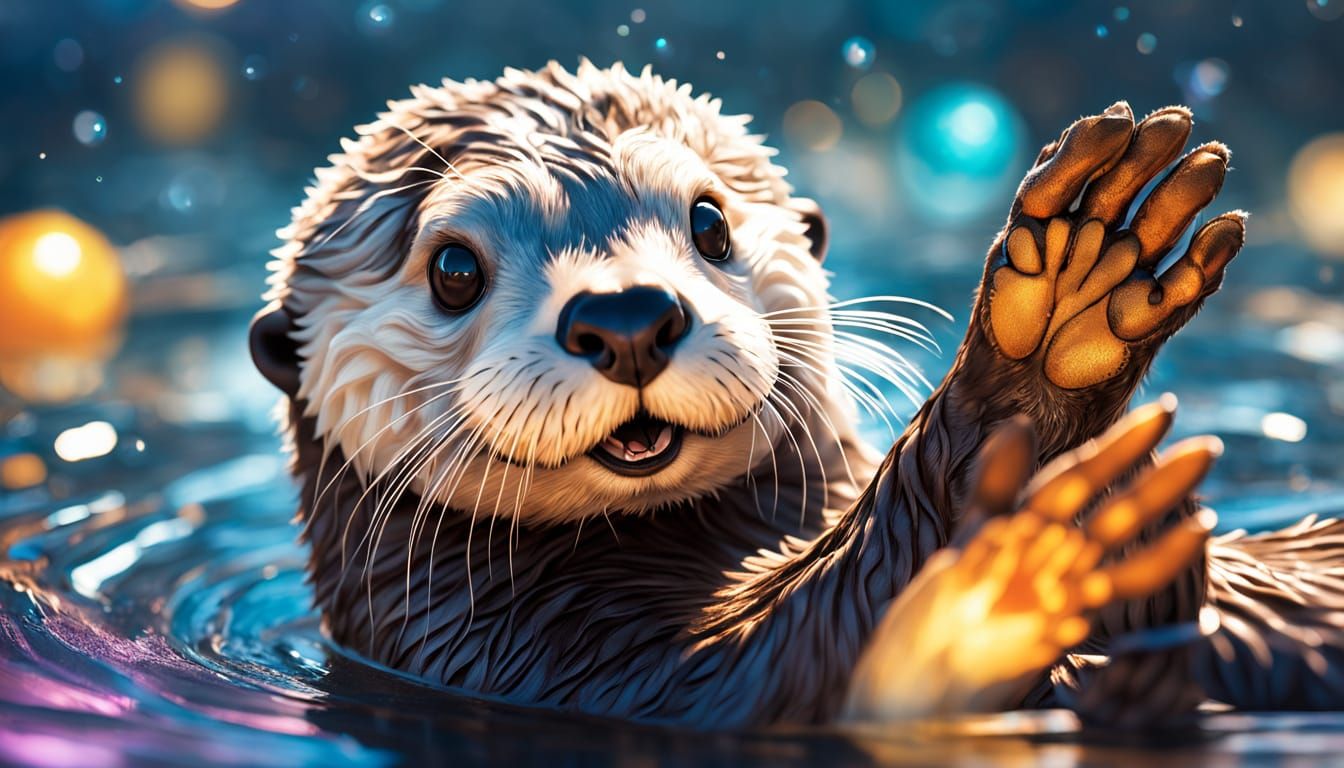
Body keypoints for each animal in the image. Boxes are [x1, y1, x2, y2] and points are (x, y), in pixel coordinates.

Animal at [249, 61, 1344, 727]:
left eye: (709, 221)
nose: (628, 316)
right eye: (454, 270)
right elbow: (797, 650)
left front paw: (1074, 297)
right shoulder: (569, 668)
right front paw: (1030, 542)